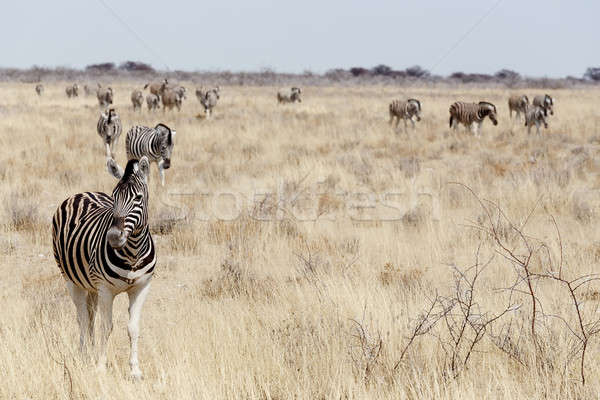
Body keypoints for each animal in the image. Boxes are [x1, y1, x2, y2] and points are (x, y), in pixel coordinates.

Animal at [51, 156, 155, 378]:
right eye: (114, 198)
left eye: (139, 198)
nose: (114, 237)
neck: (132, 254)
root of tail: (82, 193)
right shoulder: (106, 289)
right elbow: (106, 327)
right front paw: (100, 366)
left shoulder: (142, 287)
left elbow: (133, 328)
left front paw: (135, 370)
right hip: (71, 280)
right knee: (82, 318)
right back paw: (84, 355)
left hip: (91, 285)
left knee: (89, 316)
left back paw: (90, 351)